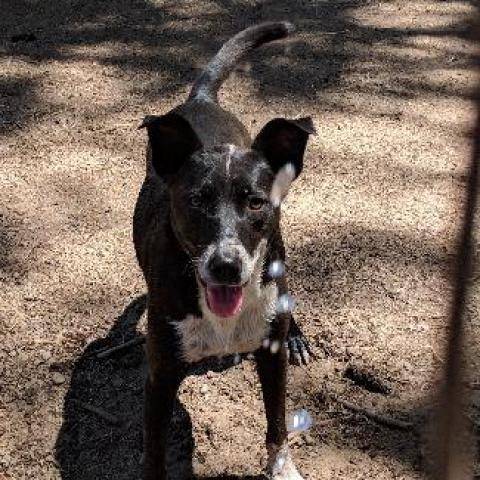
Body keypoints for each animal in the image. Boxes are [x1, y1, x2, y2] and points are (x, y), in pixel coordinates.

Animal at [133, 20, 316, 478]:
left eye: (255, 202)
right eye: (197, 200)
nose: (226, 267)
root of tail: (201, 100)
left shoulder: (271, 358)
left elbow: (277, 422)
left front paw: (282, 469)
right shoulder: (160, 377)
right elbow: (154, 452)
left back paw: (297, 336)